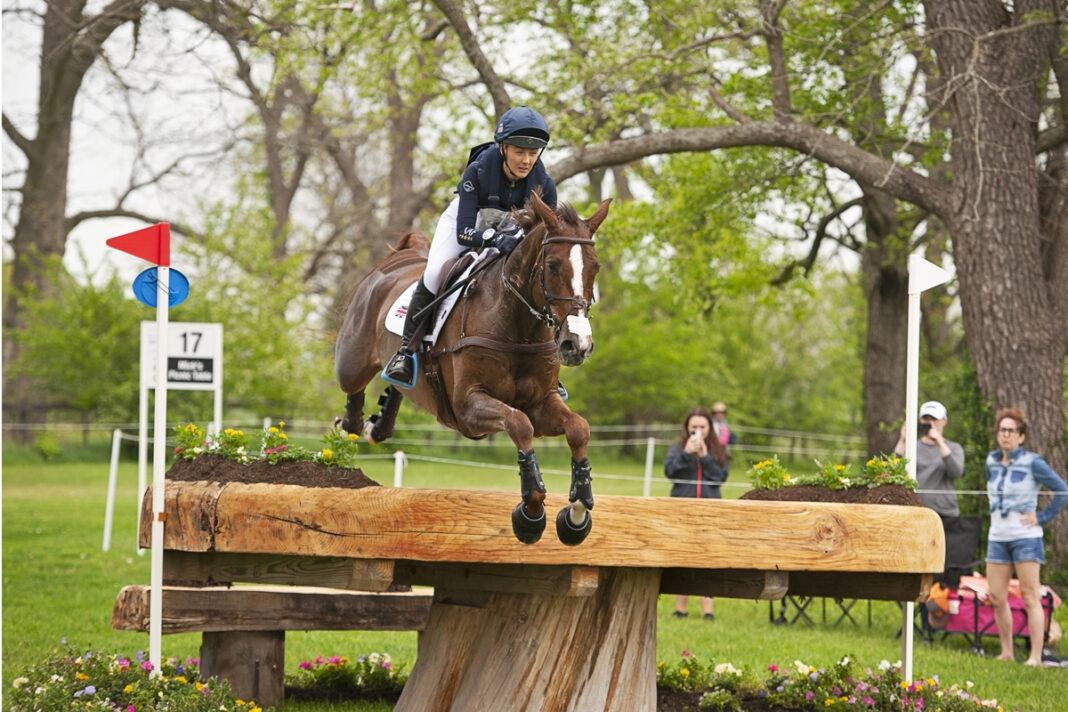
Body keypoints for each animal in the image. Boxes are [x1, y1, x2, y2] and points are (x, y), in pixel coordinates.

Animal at [334, 192, 611, 545]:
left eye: (595, 267)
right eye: (551, 265)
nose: (577, 345)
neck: (517, 324)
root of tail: (397, 262)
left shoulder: (541, 403)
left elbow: (578, 428)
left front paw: (577, 513)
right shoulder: (468, 407)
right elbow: (520, 425)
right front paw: (530, 513)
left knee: (395, 386)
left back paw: (380, 418)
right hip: (352, 359)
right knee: (353, 387)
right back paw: (353, 424)